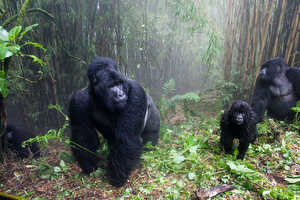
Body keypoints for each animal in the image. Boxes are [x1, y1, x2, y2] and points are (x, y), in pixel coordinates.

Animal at [69, 56, 161, 188]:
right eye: (112, 86)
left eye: (120, 83)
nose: (121, 94)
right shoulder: (79, 99)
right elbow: (83, 136)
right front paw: (89, 166)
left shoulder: (136, 91)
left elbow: (127, 139)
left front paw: (116, 178)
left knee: (150, 135)